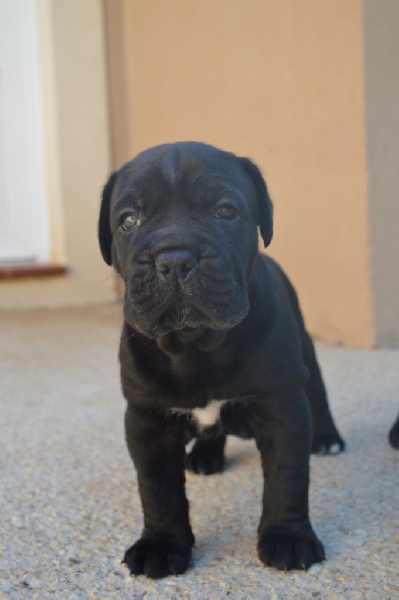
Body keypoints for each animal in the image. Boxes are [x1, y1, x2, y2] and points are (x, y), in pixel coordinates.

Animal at [98, 141, 346, 576]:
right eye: (129, 220)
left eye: (226, 211)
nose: (175, 257)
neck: (196, 345)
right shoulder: (146, 420)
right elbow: (157, 489)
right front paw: (161, 544)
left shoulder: (283, 408)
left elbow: (287, 478)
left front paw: (288, 537)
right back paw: (205, 455)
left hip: (306, 357)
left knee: (318, 393)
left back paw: (327, 438)